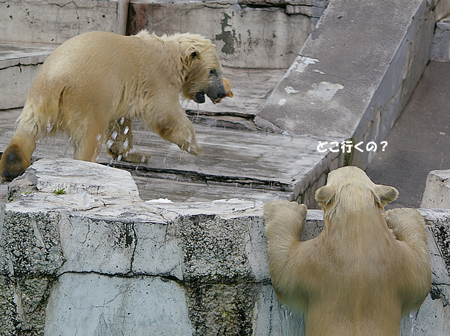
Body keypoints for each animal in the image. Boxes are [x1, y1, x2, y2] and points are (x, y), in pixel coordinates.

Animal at [0, 30, 229, 181]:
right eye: (213, 71)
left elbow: (120, 123)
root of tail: (57, 82)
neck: (173, 54)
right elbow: (165, 114)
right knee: (89, 135)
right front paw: (195, 146)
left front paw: (137, 154)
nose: (221, 92)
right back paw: (88, 165)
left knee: (28, 129)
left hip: (39, 96)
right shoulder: (157, 78)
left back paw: (13, 165)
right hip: (88, 96)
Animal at [264, 166, 432, 336]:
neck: (357, 236)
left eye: (331, 175)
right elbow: (422, 279)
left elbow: (284, 276)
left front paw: (286, 206)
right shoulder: (400, 263)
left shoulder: (311, 263)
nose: (343, 167)